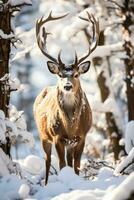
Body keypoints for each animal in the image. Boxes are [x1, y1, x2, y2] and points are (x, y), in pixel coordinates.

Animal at [34, 11, 99, 184]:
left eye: (76, 74)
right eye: (60, 75)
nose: (67, 86)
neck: (70, 126)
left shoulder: (82, 137)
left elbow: (76, 165)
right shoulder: (57, 137)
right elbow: (62, 165)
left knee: (69, 161)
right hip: (43, 135)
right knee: (47, 160)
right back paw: (46, 183)